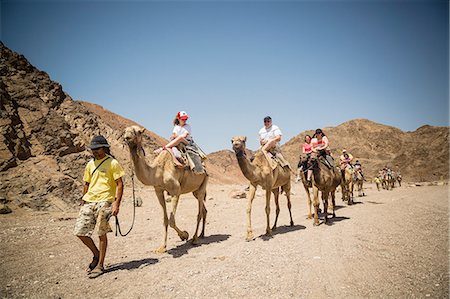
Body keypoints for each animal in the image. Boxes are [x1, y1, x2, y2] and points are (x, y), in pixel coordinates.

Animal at [122, 125, 208, 253]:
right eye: (125, 131)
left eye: (138, 132)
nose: (127, 137)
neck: (157, 172)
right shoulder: (158, 191)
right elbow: (165, 219)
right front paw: (162, 247)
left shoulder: (176, 191)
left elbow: (172, 220)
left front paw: (184, 235)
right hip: (195, 190)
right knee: (204, 210)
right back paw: (202, 235)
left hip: (204, 183)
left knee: (199, 213)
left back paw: (195, 239)